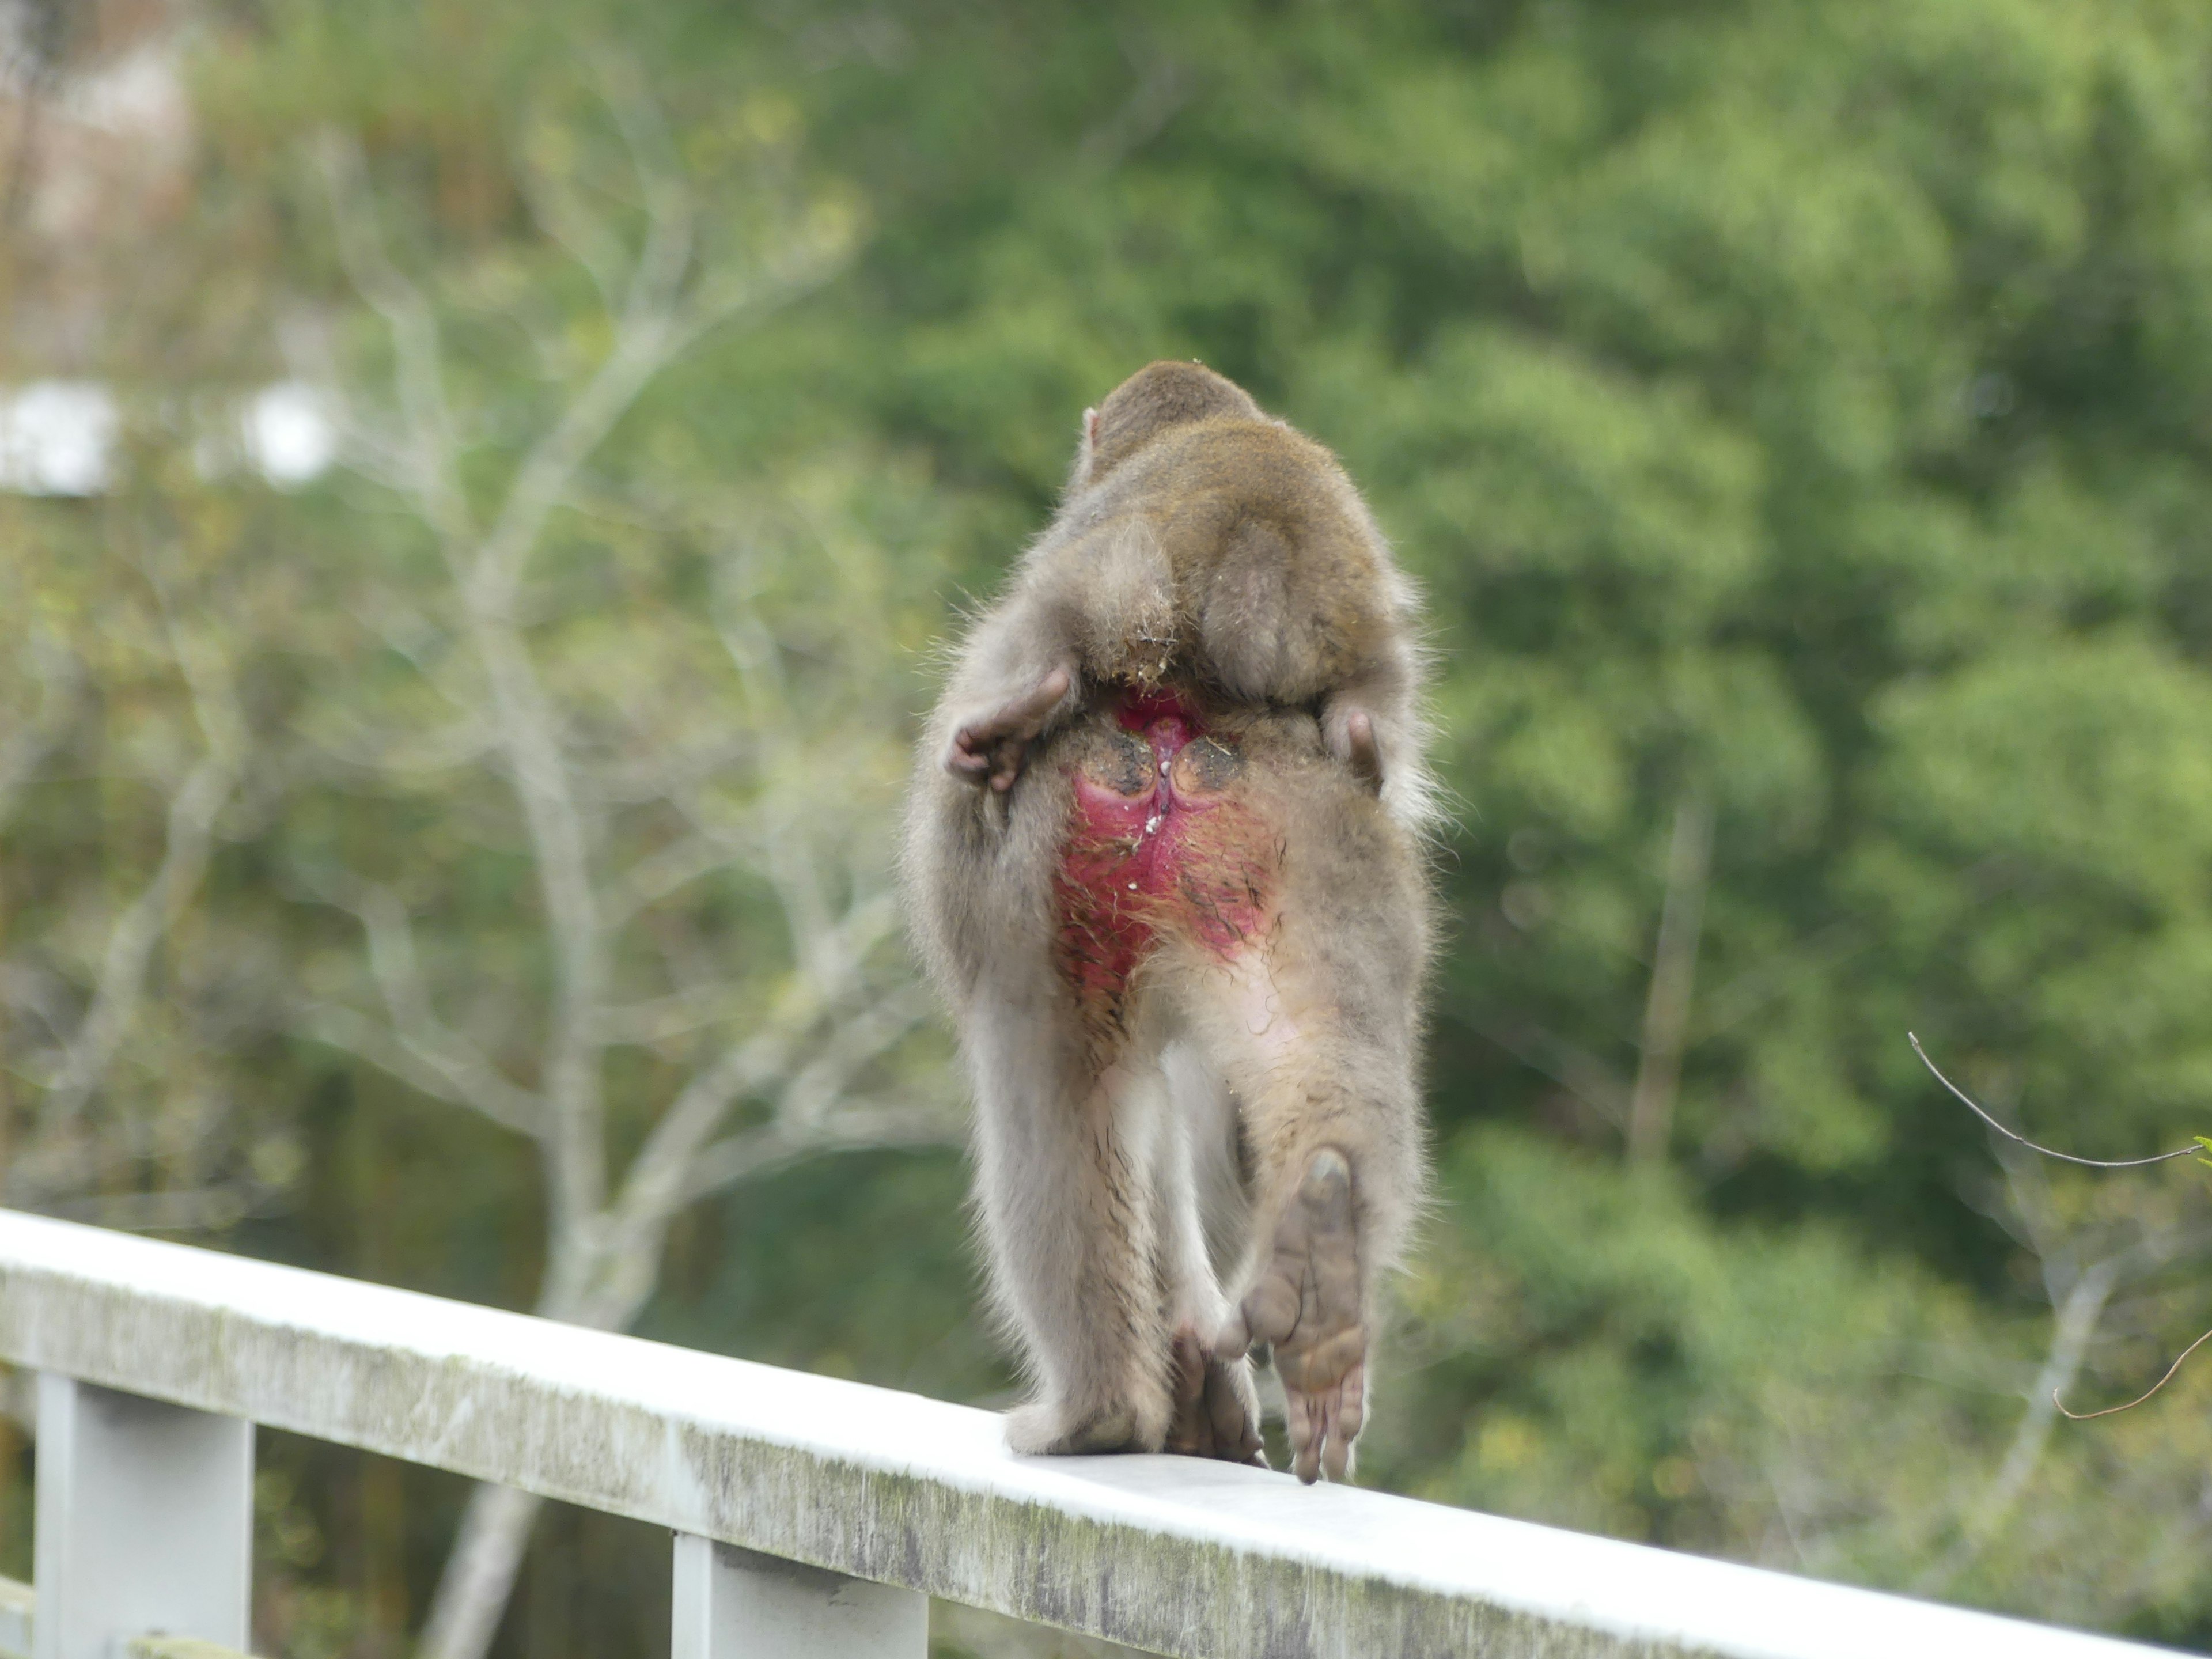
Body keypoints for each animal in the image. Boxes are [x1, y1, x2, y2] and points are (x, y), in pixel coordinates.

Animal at [902, 360, 1433, 1478]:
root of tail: (1175, 729)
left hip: (1036, 863)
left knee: (1053, 1093)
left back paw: (1097, 1414)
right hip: (1320, 846)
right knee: (1325, 1049)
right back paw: (1322, 1254)